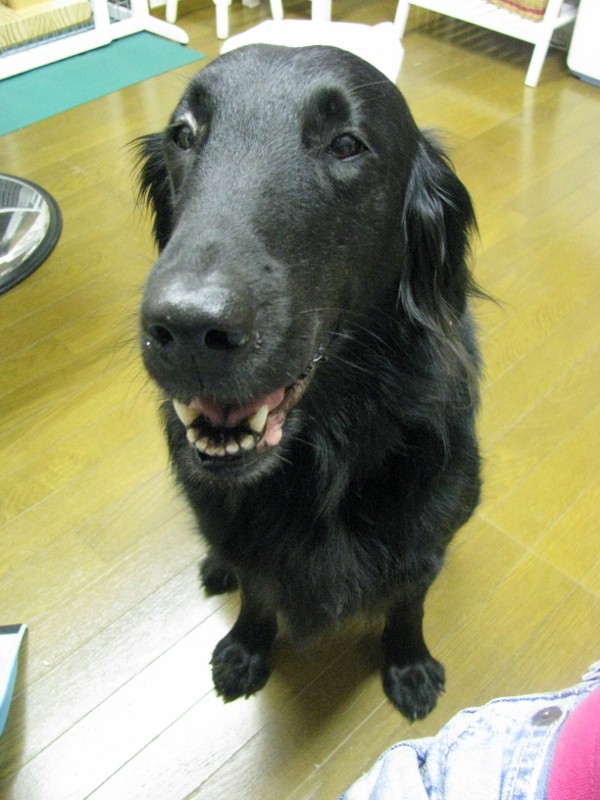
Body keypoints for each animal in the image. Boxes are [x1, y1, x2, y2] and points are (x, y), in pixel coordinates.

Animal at [136, 44, 483, 721]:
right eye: (183, 135)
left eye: (346, 144)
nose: (186, 327)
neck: (326, 457)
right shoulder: (247, 543)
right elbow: (257, 591)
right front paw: (245, 649)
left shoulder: (428, 536)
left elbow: (408, 603)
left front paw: (408, 665)